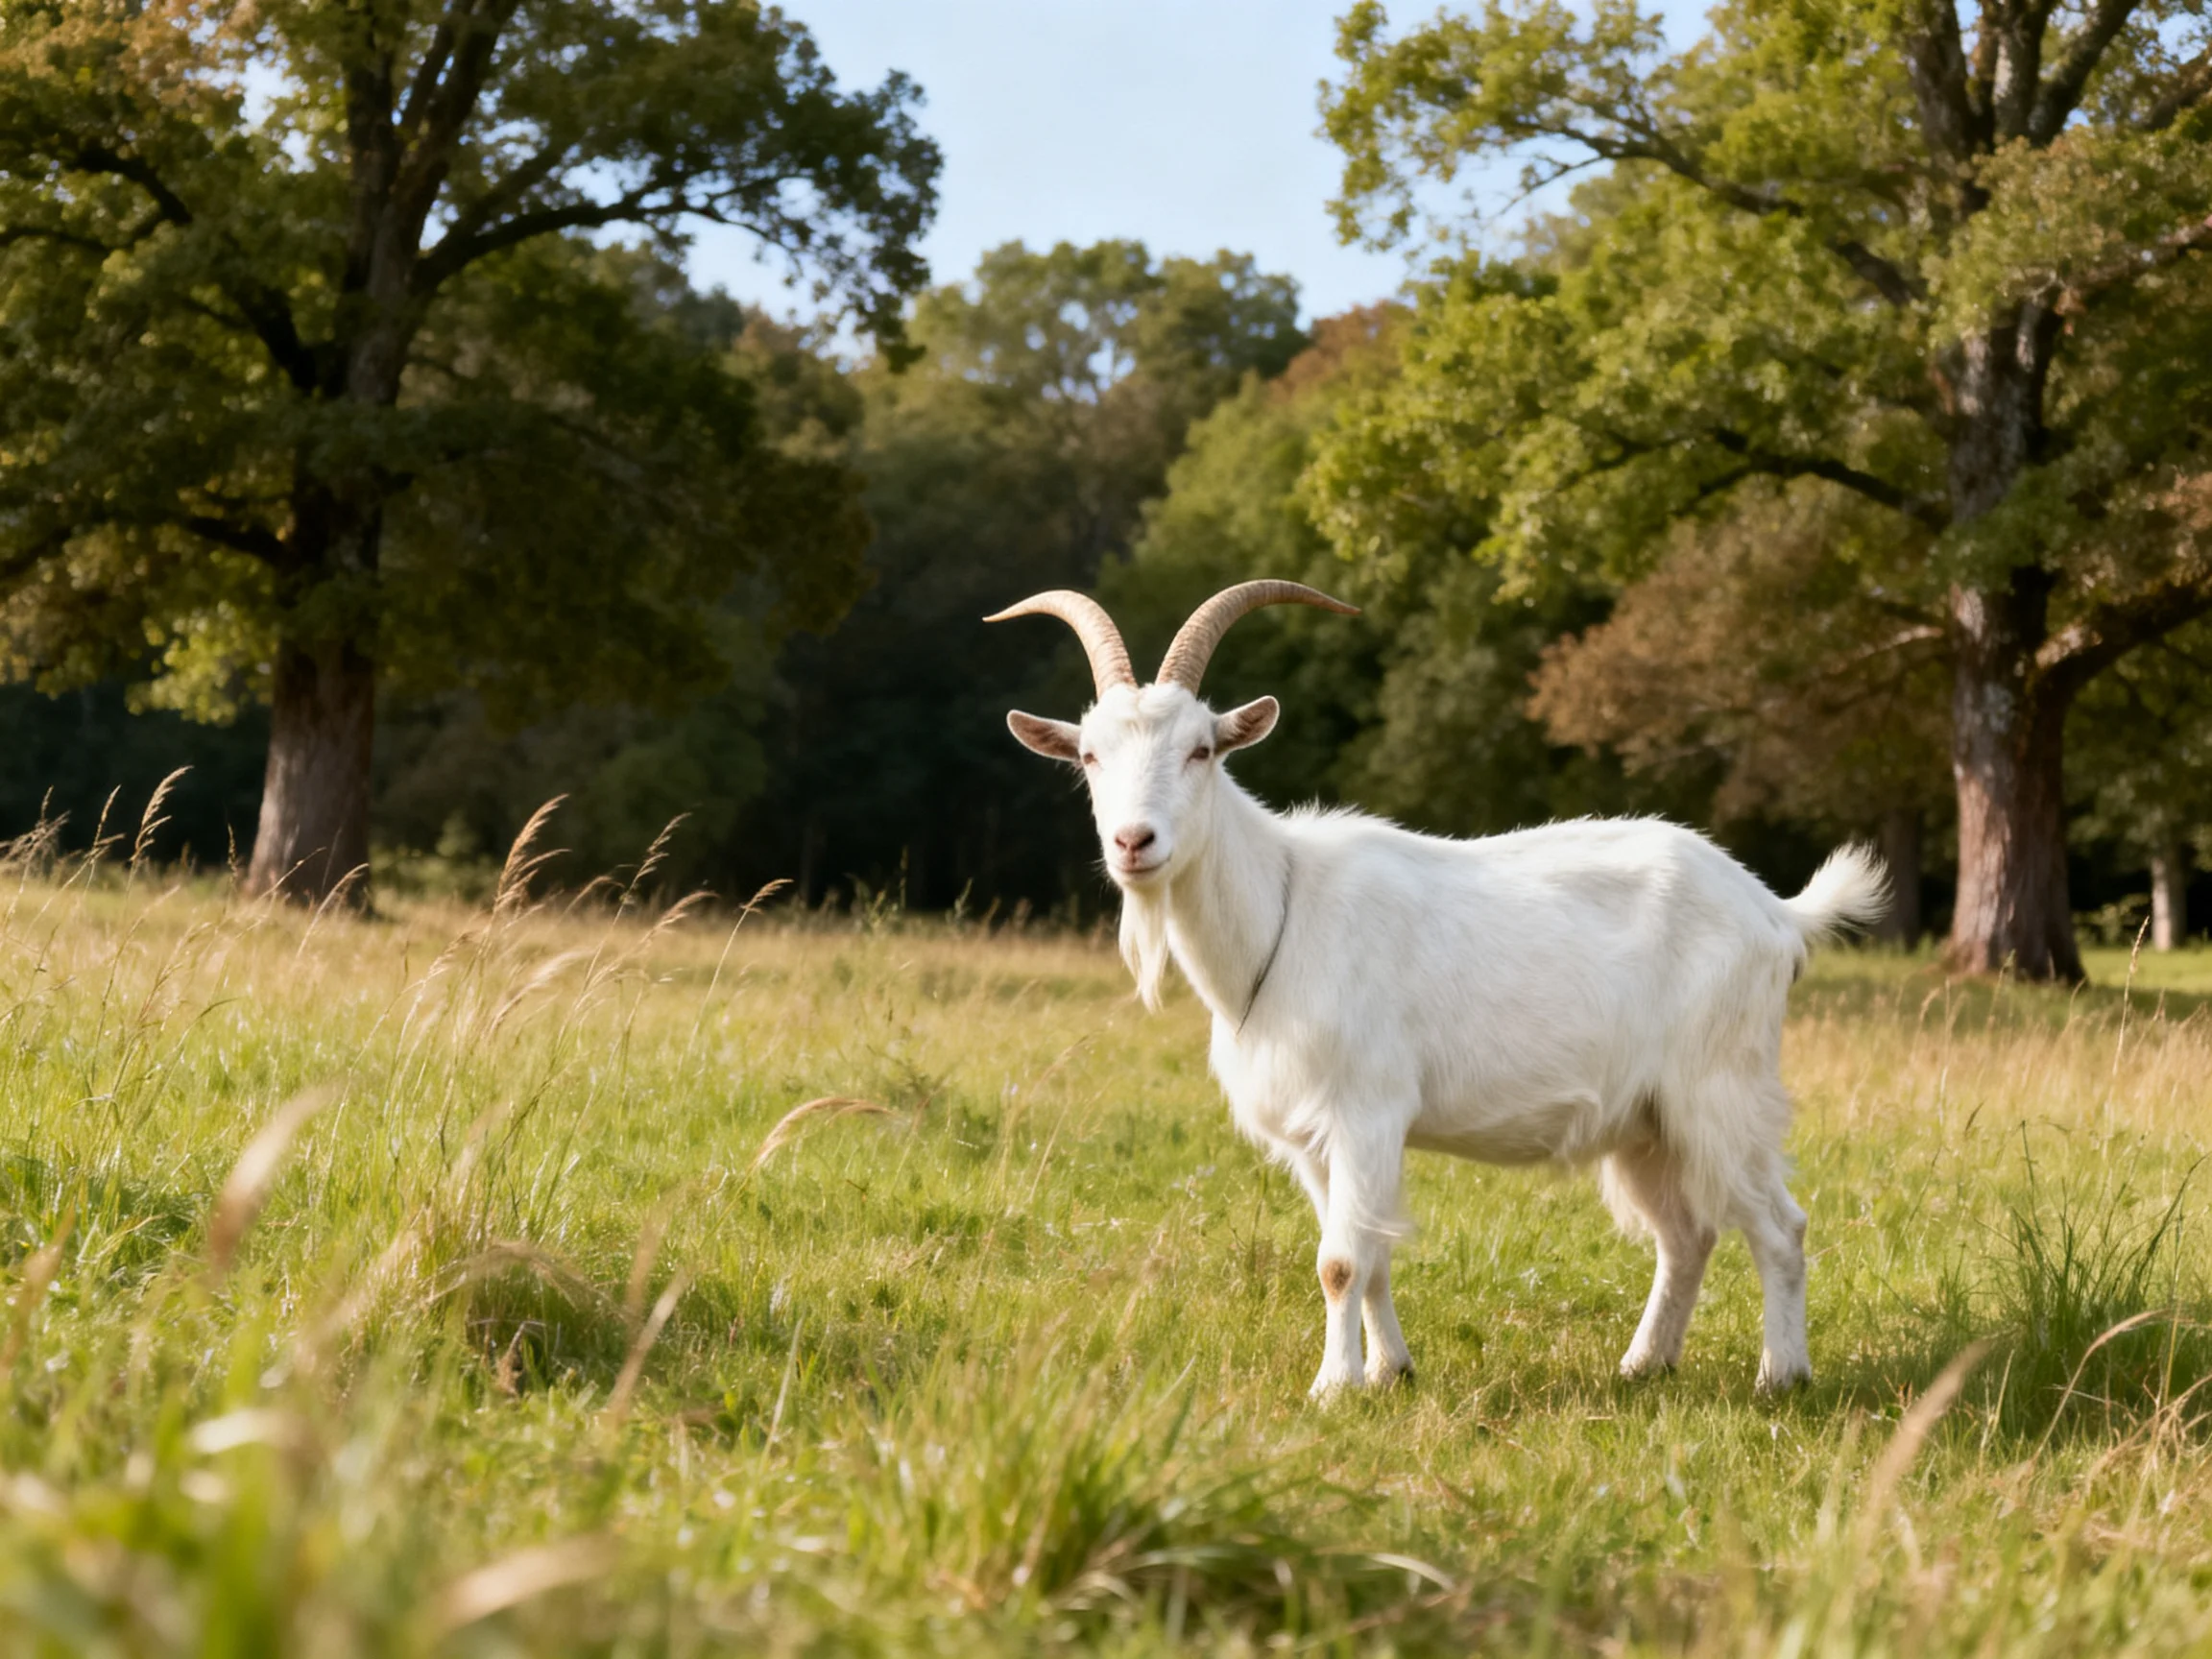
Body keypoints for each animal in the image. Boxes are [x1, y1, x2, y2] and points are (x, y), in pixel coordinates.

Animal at [989, 581, 1887, 1396]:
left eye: (1202, 750)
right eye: (1090, 756)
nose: (1133, 842)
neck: (1282, 909)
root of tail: (1775, 911)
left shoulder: (1366, 1111)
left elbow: (1341, 1261)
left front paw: (1332, 1389)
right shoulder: (1316, 1138)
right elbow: (1372, 1255)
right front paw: (1392, 1373)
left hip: (1719, 1091)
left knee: (1779, 1226)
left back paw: (1781, 1377)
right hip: (1648, 1120)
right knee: (1686, 1235)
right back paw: (1643, 1366)